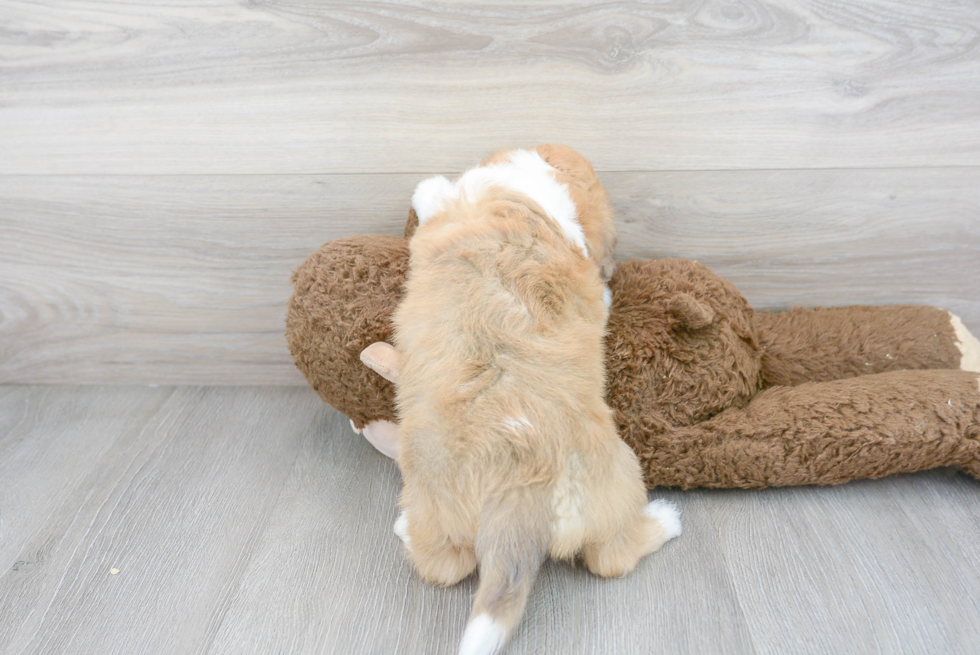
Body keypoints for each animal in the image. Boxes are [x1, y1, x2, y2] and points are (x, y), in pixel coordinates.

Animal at [390, 146, 680, 652]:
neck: (525, 187)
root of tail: (518, 487)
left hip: (432, 507)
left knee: (444, 566)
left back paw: (403, 529)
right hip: (621, 480)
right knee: (612, 557)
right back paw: (667, 520)